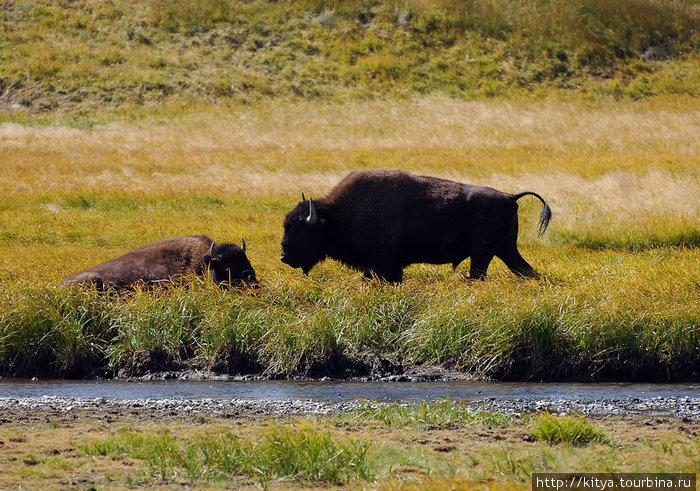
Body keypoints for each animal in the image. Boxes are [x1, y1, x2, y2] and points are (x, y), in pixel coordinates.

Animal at [280, 169, 552, 284]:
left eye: (299, 230)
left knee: (480, 274)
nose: (284, 256)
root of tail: (510, 197)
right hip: (504, 250)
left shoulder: (384, 266)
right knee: (525, 270)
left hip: (484, 253)